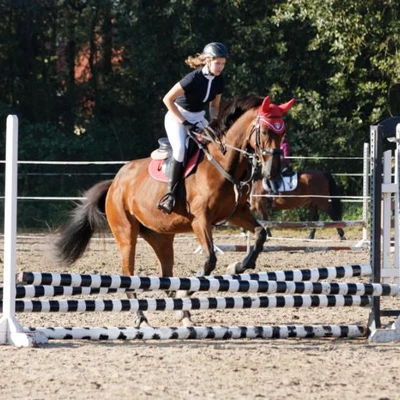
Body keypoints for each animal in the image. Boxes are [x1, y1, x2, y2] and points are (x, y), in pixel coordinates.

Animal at [54, 96, 294, 324]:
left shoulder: (236, 213)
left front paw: (238, 266)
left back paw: (182, 313)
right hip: (126, 233)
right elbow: (209, 260)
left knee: (166, 275)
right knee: (128, 274)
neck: (223, 162)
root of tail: (115, 182)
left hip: (161, 237)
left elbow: (260, 234)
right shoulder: (200, 220)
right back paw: (141, 317)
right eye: (265, 131)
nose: (273, 172)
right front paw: (186, 290)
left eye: (283, 134)